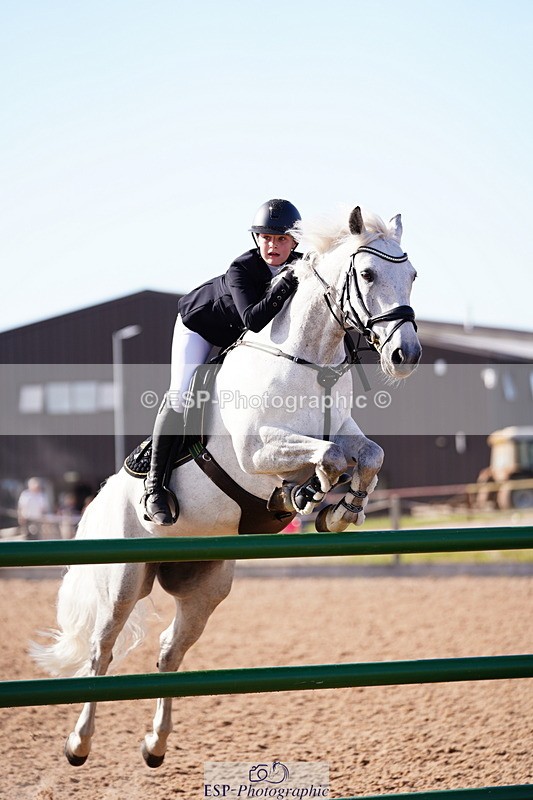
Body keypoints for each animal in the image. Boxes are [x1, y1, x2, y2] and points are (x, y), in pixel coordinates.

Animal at [30, 205, 421, 768]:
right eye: (367, 275)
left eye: (412, 276)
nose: (406, 354)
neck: (308, 361)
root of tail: (99, 500)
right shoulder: (256, 450)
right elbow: (326, 456)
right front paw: (313, 492)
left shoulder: (342, 429)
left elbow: (367, 454)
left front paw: (341, 509)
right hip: (123, 578)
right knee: (101, 650)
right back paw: (78, 744)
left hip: (207, 584)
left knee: (169, 652)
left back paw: (155, 745)